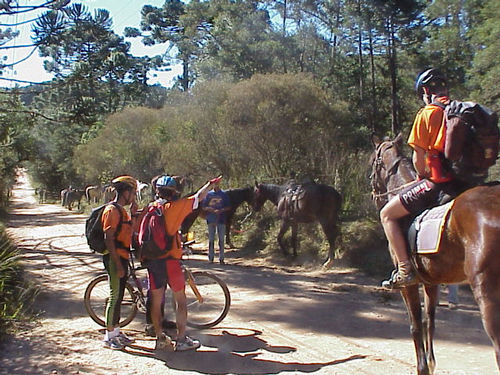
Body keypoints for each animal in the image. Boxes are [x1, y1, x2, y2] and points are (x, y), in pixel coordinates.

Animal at [370, 134, 500, 374]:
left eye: (373, 160)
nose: (374, 193)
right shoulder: (431, 282)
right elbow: (429, 322)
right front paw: (430, 364)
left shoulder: (409, 285)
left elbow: (414, 324)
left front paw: (422, 367)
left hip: (487, 294)